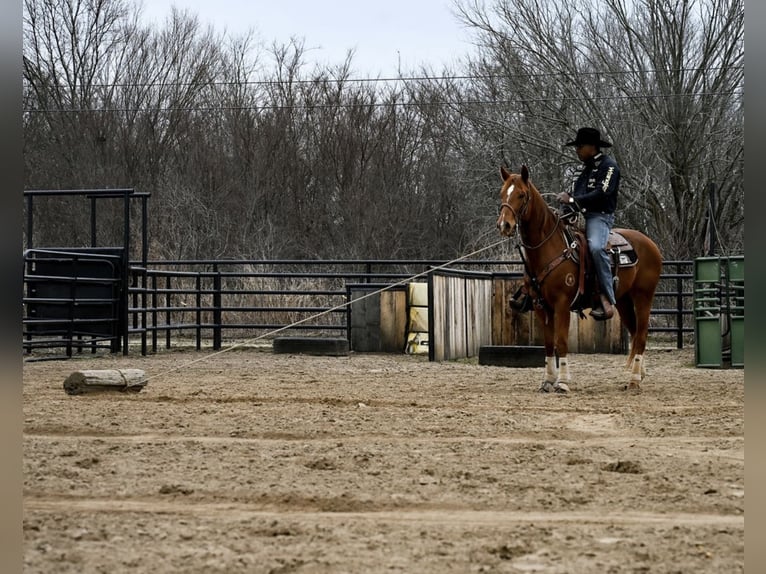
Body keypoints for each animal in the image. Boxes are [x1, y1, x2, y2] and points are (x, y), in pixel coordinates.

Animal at [496, 165, 663, 392]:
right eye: (502, 193)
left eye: (521, 195)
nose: (504, 225)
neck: (549, 248)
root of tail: (650, 243)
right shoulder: (540, 306)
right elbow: (549, 344)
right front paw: (548, 380)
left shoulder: (562, 304)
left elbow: (561, 341)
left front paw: (562, 382)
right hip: (624, 301)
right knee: (636, 333)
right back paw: (640, 374)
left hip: (643, 296)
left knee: (643, 334)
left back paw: (635, 379)